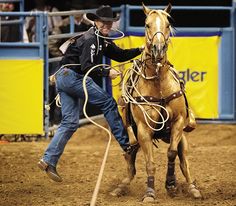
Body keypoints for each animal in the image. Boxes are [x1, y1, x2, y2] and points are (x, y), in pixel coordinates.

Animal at [110, 3, 201, 203]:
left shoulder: (178, 123)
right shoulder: (143, 130)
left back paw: (192, 188)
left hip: (182, 139)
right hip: (133, 137)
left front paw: (171, 184)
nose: (158, 49)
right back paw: (120, 187)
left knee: (184, 162)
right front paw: (150, 193)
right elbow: (149, 163)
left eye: (167, 24)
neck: (158, 84)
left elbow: (172, 154)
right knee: (130, 160)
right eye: (147, 24)